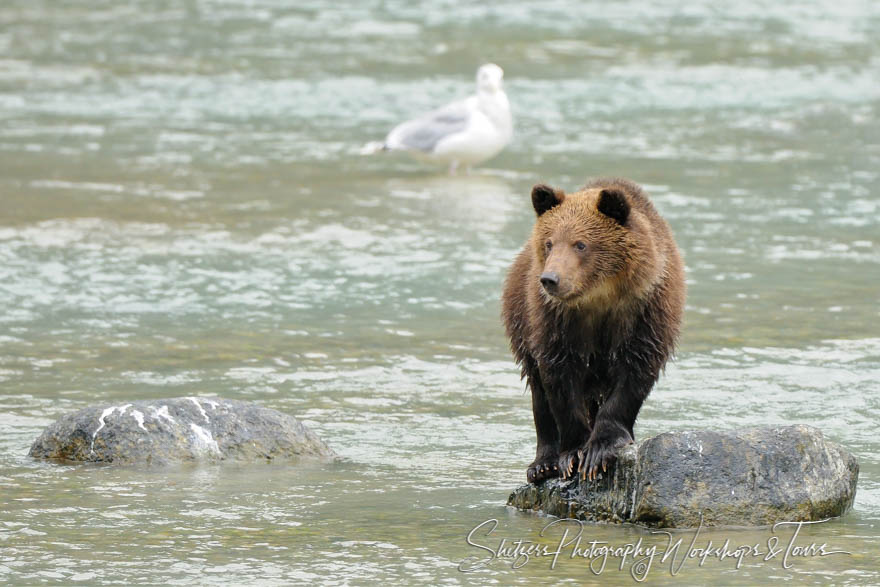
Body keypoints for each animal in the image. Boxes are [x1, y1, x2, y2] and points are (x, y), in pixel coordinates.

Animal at [506, 179, 684, 482]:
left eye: (581, 244)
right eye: (549, 242)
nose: (550, 279)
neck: (599, 297)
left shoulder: (646, 313)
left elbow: (634, 375)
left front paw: (600, 449)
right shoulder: (554, 322)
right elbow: (559, 381)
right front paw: (574, 453)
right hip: (520, 322)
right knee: (538, 392)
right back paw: (542, 464)